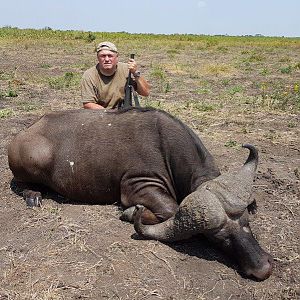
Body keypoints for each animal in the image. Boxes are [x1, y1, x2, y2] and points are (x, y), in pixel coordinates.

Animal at [7, 108, 274, 282]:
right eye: (218, 238)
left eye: (246, 223)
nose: (262, 268)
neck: (167, 146)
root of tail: (24, 134)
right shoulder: (137, 186)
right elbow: (170, 209)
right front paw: (130, 213)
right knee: (21, 183)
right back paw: (33, 195)